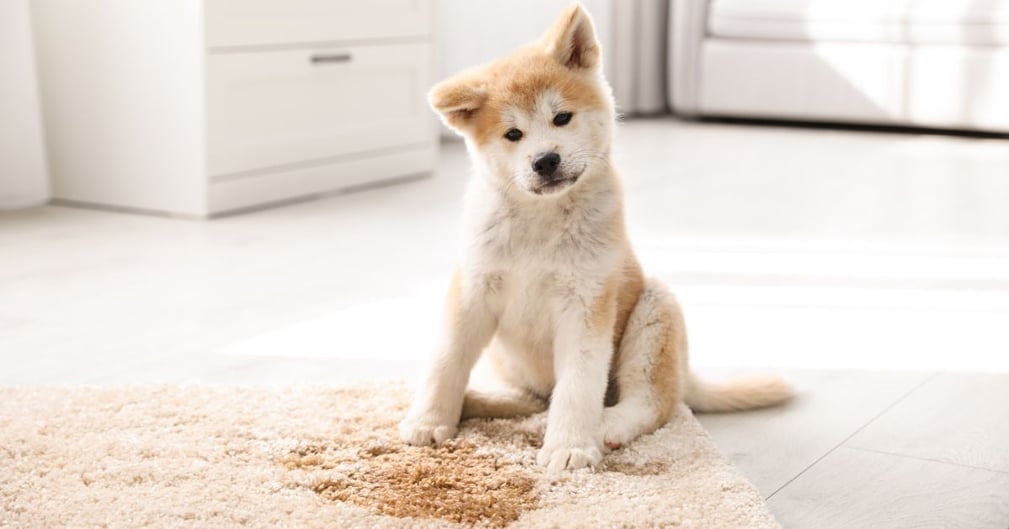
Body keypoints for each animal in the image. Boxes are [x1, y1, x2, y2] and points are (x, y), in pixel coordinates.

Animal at [397, 1, 791, 470]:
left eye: (561, 118)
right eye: (513, 134)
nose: (546, 160)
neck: (540, 221)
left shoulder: (586, 301)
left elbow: (579, 385)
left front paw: (568, 446)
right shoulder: (474, 289)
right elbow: (446, 360)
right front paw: (429, 419)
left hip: (655, 311)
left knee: (652, 403)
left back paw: (602, 427)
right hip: (512, 360)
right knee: (532, 399)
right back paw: (485, 404)